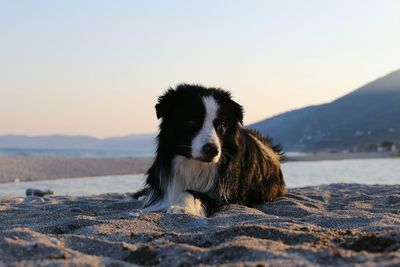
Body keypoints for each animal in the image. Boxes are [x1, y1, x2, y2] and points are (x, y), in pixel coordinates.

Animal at [134, 85, 284, 217]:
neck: (194, 164)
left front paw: (181, 207)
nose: (212, 150)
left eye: (222, 126)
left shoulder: (224, 195)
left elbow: (191, 192)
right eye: (192, 122)